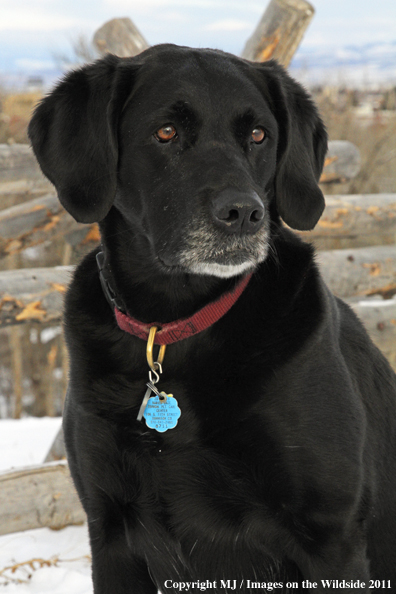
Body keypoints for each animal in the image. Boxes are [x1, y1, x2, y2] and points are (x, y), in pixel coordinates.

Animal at [28, 44, 396, 588]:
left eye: (259, 135)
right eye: (166, 132)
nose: (244, 213)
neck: (174, 326)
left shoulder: (331, 536)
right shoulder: (110, 531)